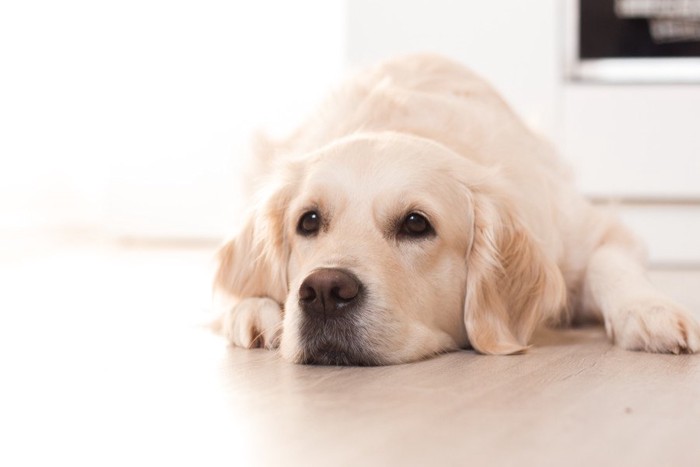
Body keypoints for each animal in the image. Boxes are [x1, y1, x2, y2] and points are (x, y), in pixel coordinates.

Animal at [212, 53, 700, 364]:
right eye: (308, 220)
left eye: (416, 224)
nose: (325, 292)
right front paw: (256, 309)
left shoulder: (589, 230)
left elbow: (610, 264)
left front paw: (649, 312)